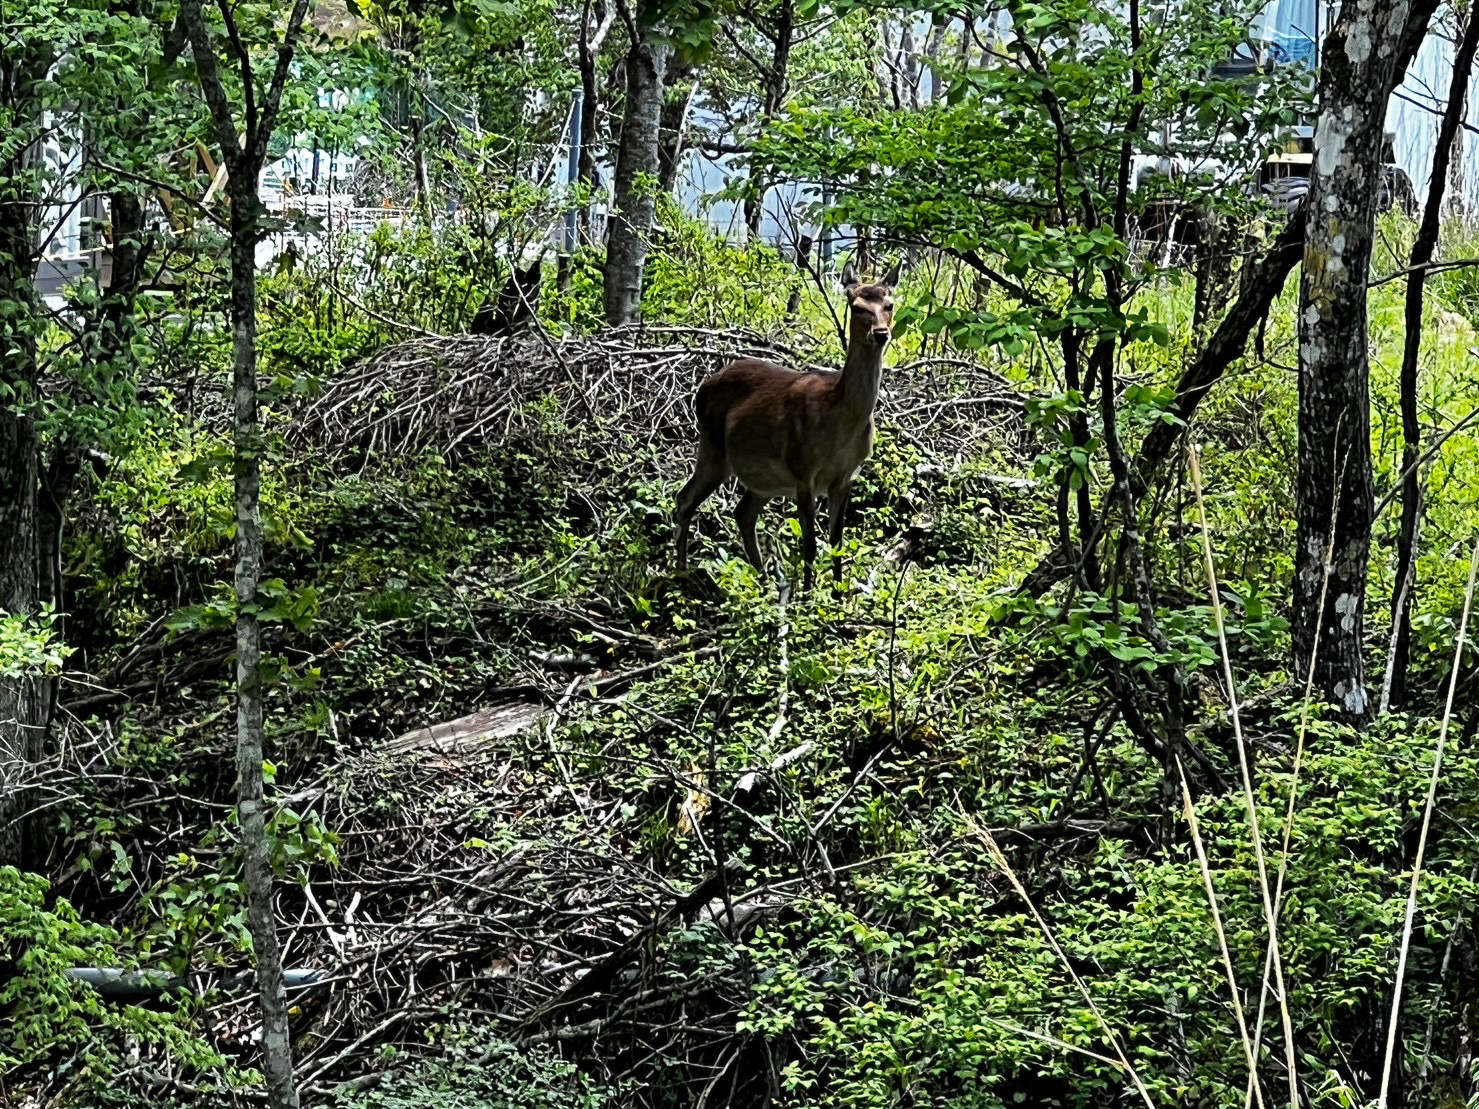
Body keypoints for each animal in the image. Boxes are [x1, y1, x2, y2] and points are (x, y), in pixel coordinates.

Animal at [674, 259, 902, 589]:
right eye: (857, 307)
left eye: (889, 304)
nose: (881, 333)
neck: (840, 422)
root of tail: (702, 387)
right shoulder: (803, 471)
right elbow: (810, 544)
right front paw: (806, 595)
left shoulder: (845, 477)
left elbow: (836, 542)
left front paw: (838, 595)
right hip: (712, 445)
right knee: (685, 499)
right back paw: (679, 572)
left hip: (763, 477)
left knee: (742, 513)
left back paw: (764, 580)